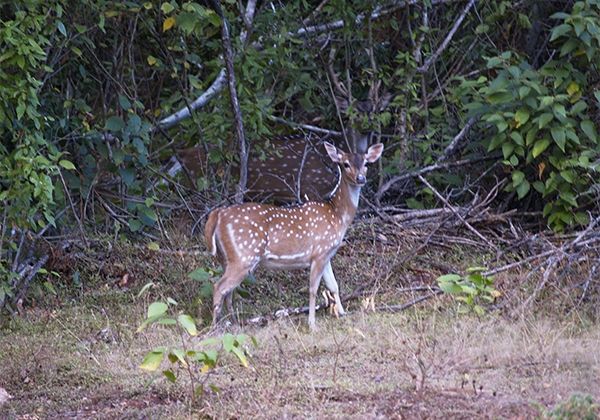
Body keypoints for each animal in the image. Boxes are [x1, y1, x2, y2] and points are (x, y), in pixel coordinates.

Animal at [204, 141, 384, 330]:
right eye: (345, 164)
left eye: (366, 163)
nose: (360, 178)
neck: (337, 215)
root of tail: (217, 215)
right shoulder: (320, 251)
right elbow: (313, 288)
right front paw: (312, 324)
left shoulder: (327, 253)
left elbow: (333, 285)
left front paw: (342, 313)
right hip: (244, 255)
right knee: (219, 287)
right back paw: (216, 328)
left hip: (226, 258)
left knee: (228, 291)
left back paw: (233, 323)